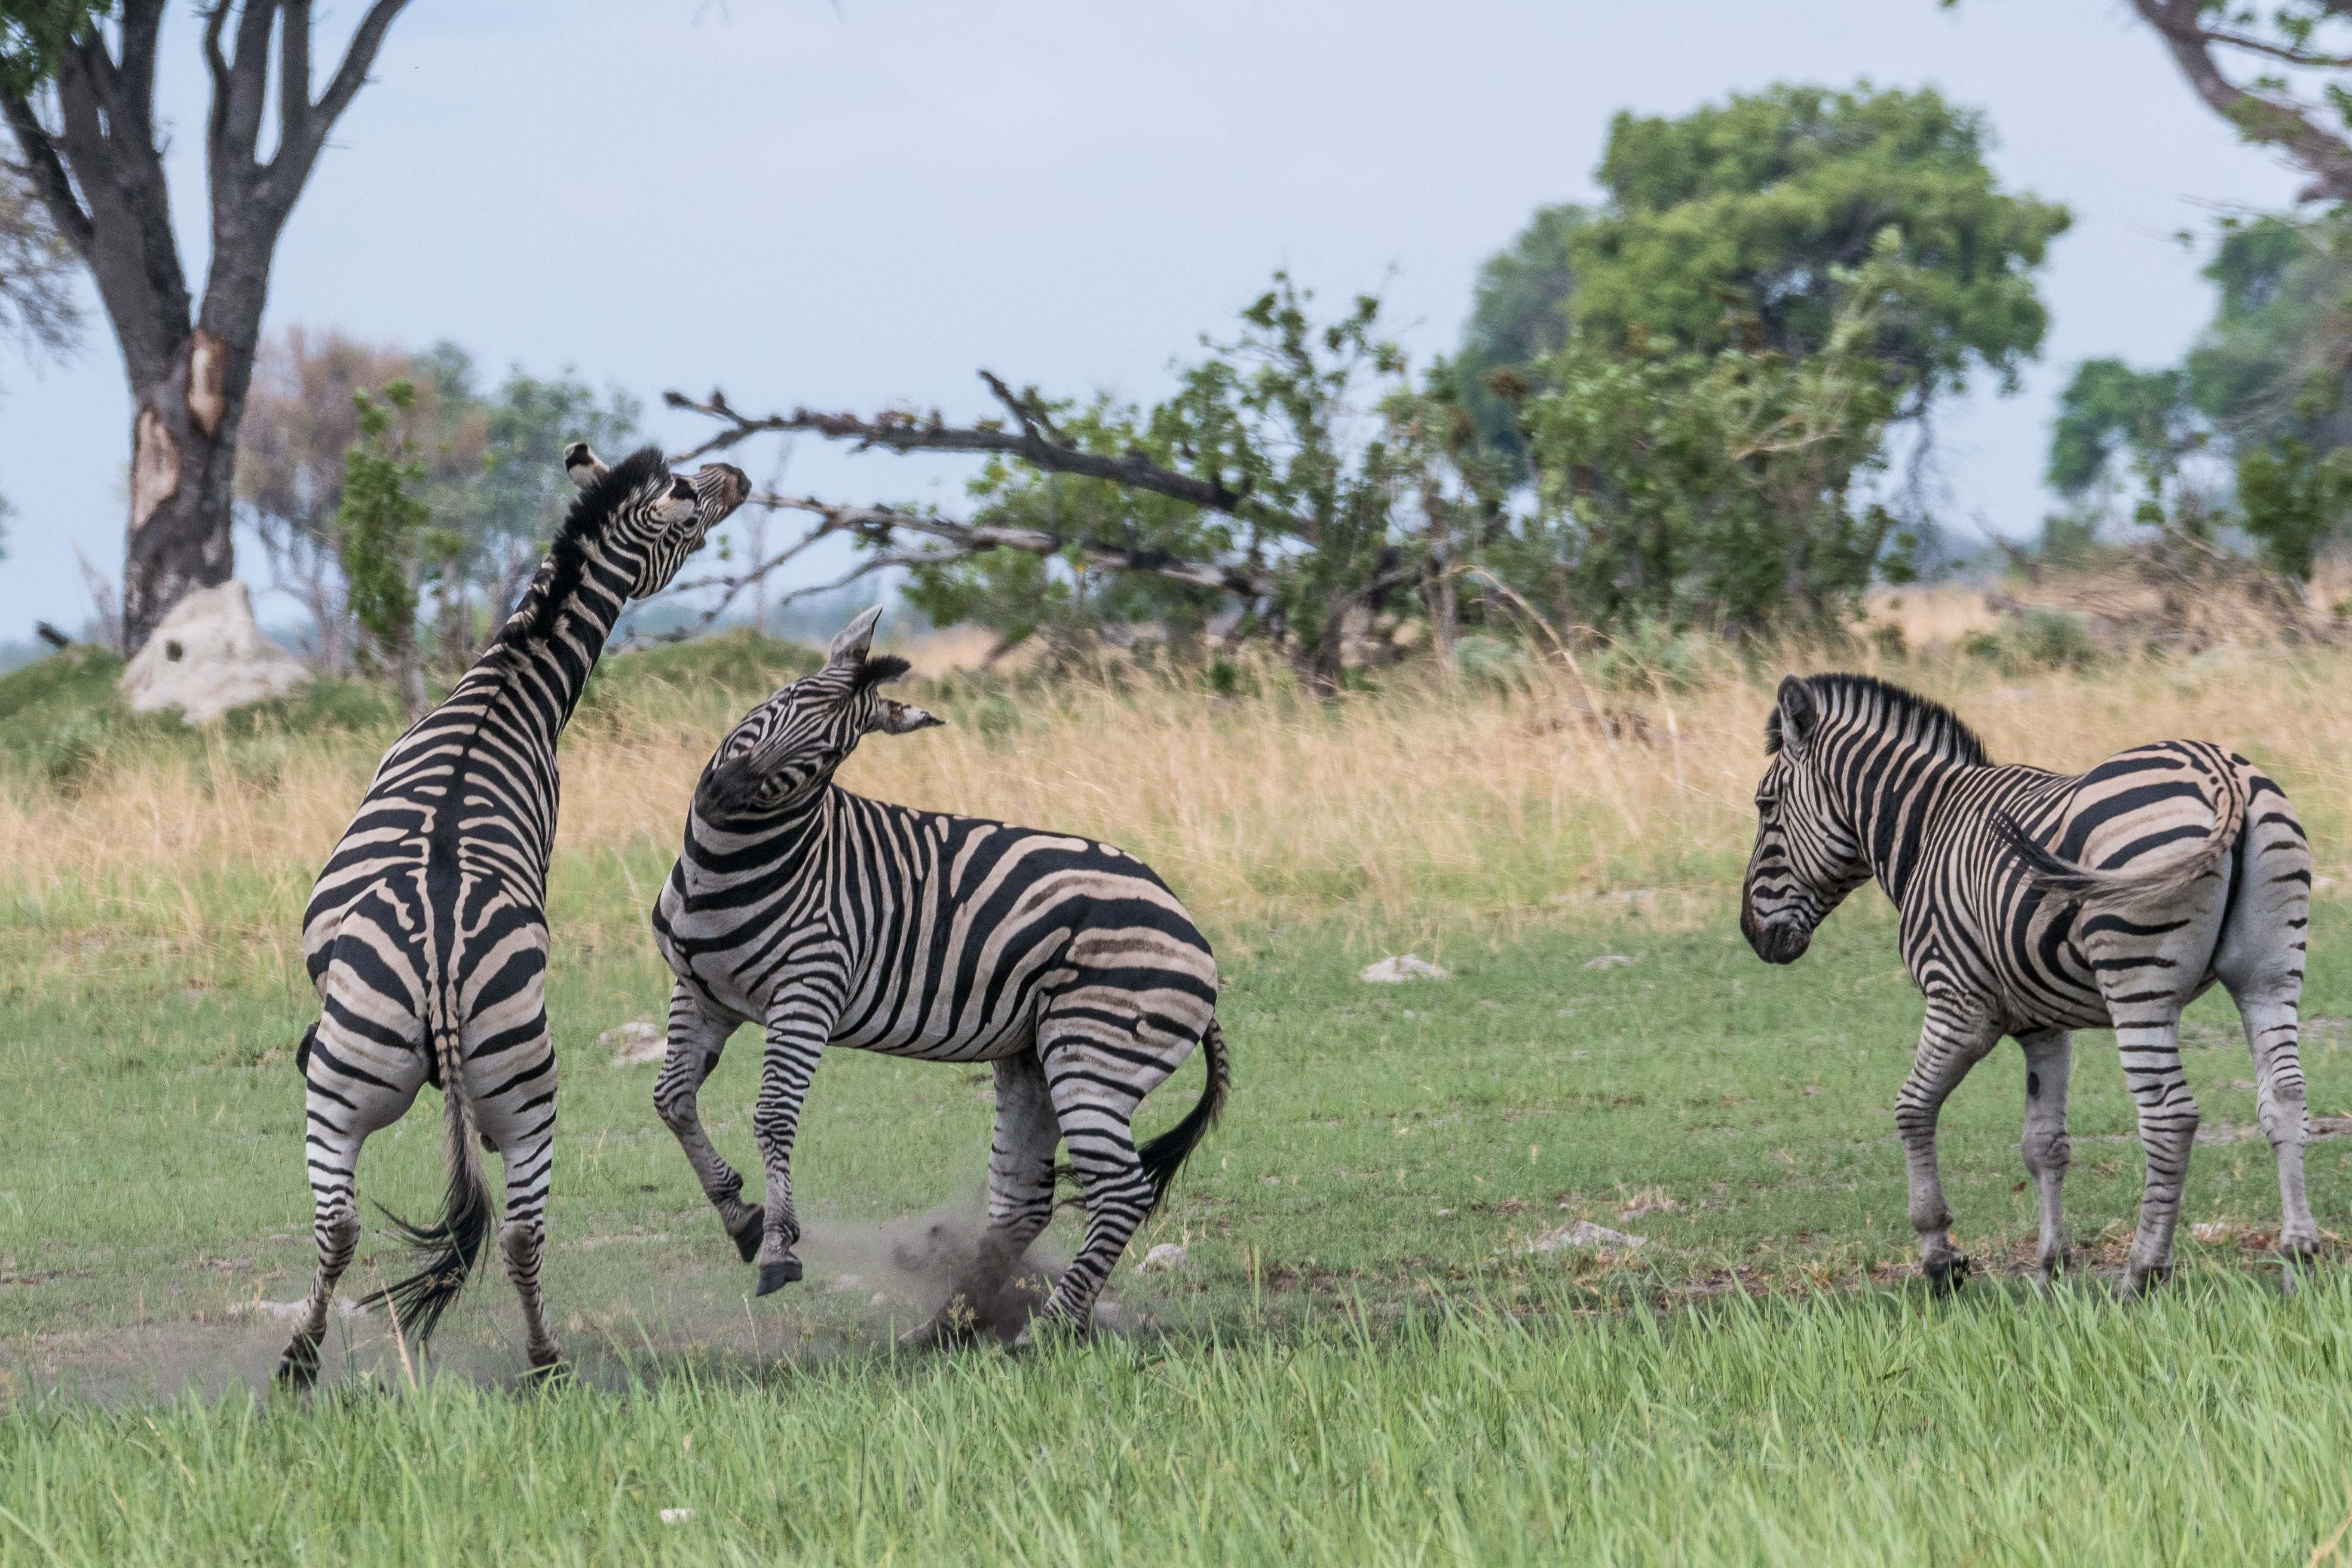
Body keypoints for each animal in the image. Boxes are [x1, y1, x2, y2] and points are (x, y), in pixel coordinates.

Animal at [280, 434, 748, 1382]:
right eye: (690, 499)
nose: (745, 478)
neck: (506, 685)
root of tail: (440, 960)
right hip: (471, 1087)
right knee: (469, 1231)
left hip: (432, 1084)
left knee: (390, 1225)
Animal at [644, 606, 1232, 1345]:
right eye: (782, 701)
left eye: (828, 756)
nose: (721, 795)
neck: (721, 869)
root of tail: (1190, 928)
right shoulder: (699, 992)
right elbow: (672, 1099)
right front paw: (743, 1218)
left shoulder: (808, 990)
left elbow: (774, 1115)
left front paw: (778, 1246)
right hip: (1034, 1055)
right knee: (1022, 1202)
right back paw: (947, 1327)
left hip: (1094, 1052)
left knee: (1121, 1191)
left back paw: (1046, 1330)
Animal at [1750, 667, 2314, 1297]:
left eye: (1765, 806)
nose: (1753, 935)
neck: (1929, 828)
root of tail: (2219, 770)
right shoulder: (2044, 1024)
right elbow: (2043, 1144)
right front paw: (2050, 1271)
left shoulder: (1959, 1003)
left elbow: (1913, 1108)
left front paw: (1940, 1256)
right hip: (2270, 971)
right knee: (2285, 1096)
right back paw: (2297, 1258)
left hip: (2138, 983)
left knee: (2170, 1116)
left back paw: (2142, 1272)